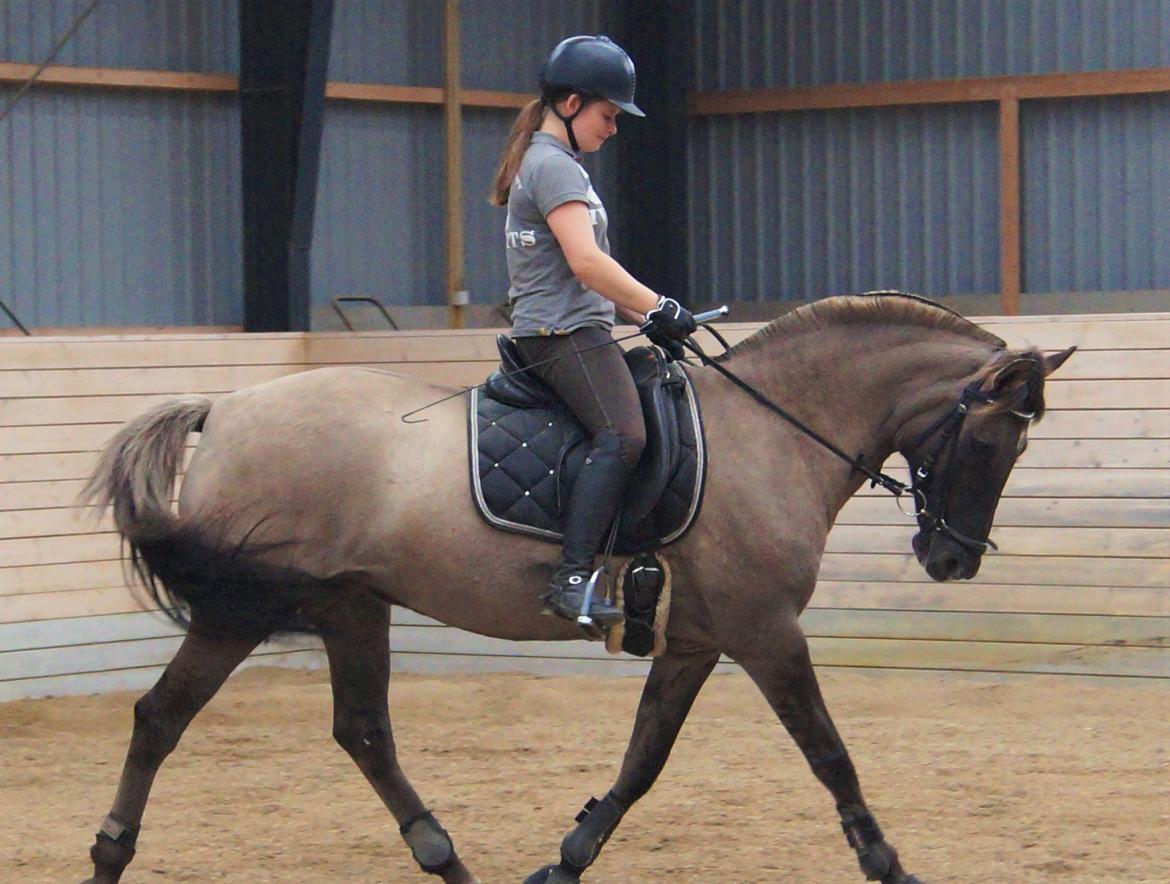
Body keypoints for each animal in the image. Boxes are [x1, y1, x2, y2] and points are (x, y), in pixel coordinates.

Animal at [80, 294, 1071, 883]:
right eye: (992, 442)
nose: (955, 561)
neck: (773, 433)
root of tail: (224, 408)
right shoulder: (765, 632)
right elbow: (830, 753)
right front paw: (889, 862)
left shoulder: (695, 640)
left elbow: (643, 759)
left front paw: (566, 858)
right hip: (242, 609)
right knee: (161, 719)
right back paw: (109, 852)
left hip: (348, 602)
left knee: (359, 732)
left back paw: (443, 855)